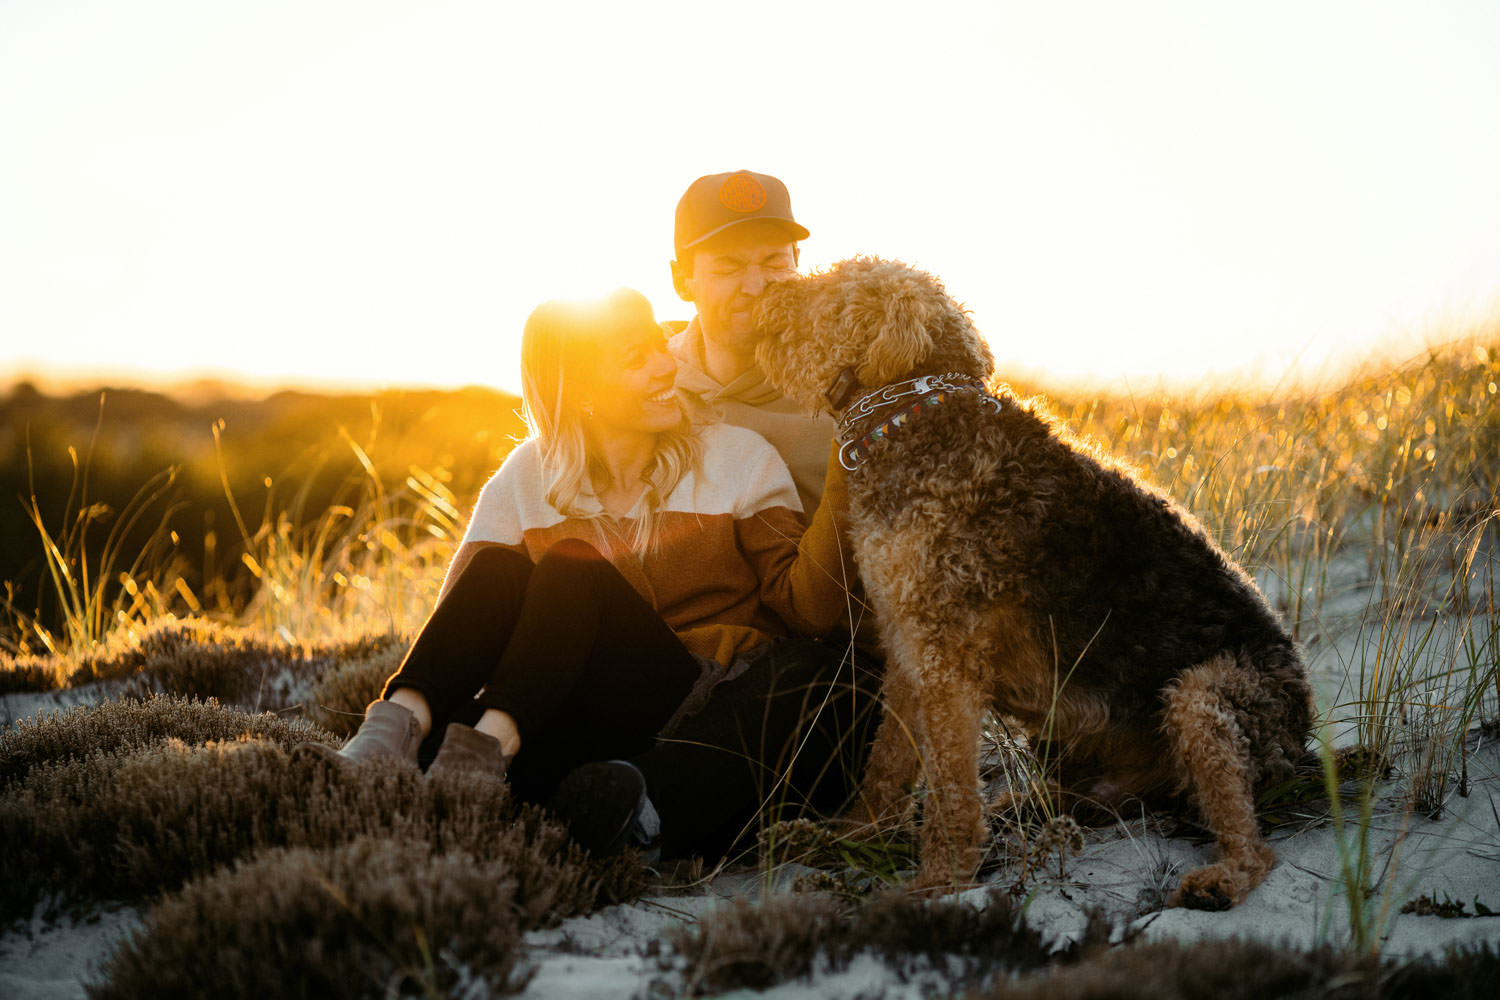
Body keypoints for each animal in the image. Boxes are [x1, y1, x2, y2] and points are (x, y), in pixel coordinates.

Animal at [750, 256, 1314, 905]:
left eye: (838, 292)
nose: (766, 299)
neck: (917, 417)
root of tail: (1305, 744)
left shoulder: (945, 660)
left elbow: (948, 788)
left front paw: (939, 879)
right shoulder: (907, 649)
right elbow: (887, 764)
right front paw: (854, 834)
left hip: (1201, 700)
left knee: (1251, 842)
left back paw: (1217, 879)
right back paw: (1021, 809)